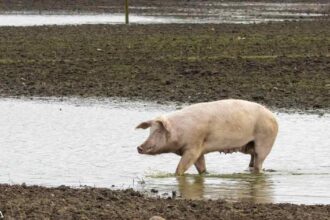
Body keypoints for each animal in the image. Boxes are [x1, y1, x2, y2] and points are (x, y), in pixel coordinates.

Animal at [136, 99, 278, 175]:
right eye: (150, 131)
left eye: (158, 132)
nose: (139, 147)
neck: (179, 132)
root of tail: (273, 116)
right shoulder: (199, 152)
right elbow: (202, 168)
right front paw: (205, 174)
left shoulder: (193, 147)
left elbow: (180, 168)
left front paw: (176, 175)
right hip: (248, 146)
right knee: (252, 161)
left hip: (265, 141)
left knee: (259, 163)